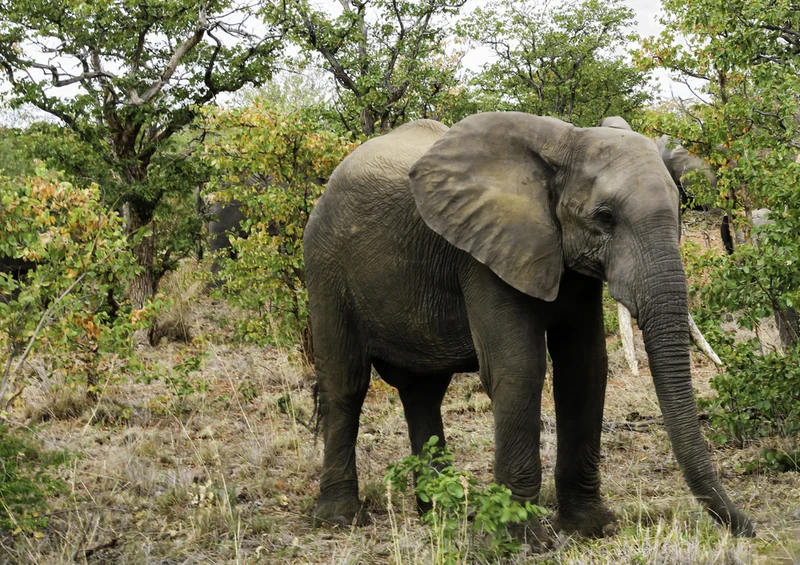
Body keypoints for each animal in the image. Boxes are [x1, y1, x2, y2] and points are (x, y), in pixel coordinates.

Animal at [304, 112, 754, 538]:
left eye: (680, 209)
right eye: (605, 217)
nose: (747, 527)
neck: (565, 144)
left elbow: (585, 367)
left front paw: (592, 528)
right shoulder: (485, 252)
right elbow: (519, 368)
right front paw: (519, 539)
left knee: (422, 392)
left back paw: (441, 516)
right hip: (325, 266)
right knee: (346, 384)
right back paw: (342, 519)